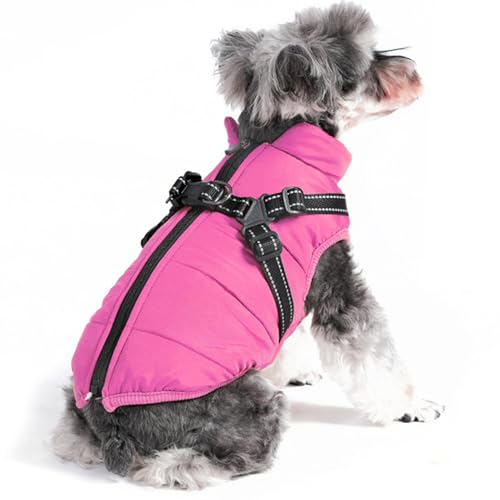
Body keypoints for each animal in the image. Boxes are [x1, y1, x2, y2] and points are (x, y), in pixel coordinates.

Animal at [52, 3, 443, 489]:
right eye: (364, 62)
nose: (413, 71)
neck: (278, 143)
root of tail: (110, 424)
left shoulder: (288, 289)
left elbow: (286, 335)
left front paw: (296, 370)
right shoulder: (335, 284)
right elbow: (376, 354)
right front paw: (414, 406)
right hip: (249, 407)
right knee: (201, 458)